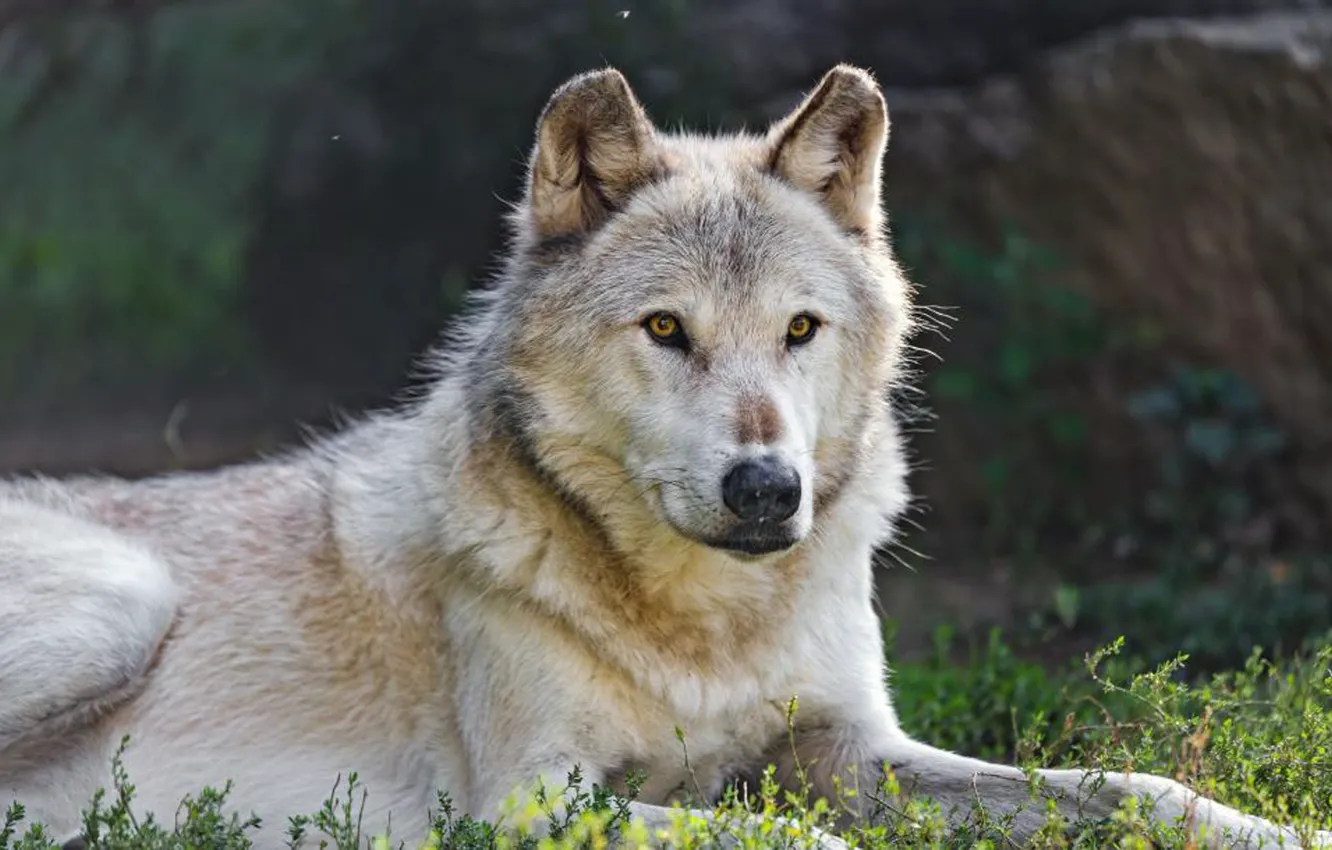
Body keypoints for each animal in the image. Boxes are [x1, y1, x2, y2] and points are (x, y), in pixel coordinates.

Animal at [0, 65, 1325, 850]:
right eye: (667, 330)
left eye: (800, 330)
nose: (769, 489)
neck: (703, 634)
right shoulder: (535, 798)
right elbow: (802, 839)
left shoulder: (853, 746)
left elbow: (1120, 789)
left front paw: (1275, 833)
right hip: (126, 600)